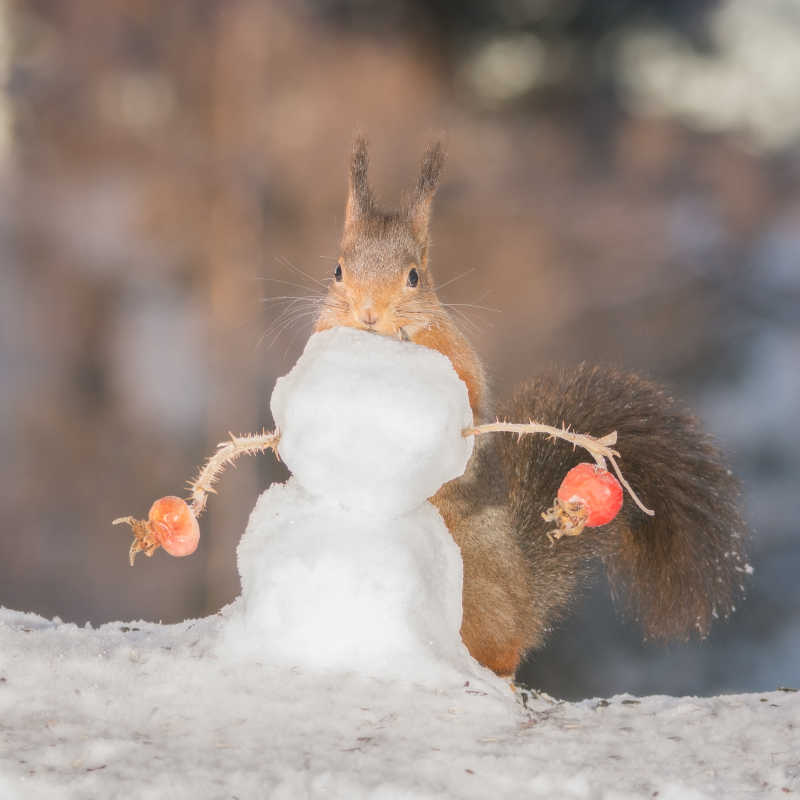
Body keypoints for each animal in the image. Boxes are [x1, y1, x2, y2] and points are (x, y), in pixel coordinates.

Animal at [312, 138, 752, 676]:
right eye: (337, 271)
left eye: (414, 277)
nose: (369, 314)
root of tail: (524, 607)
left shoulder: (460, 357)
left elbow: (470, 401)